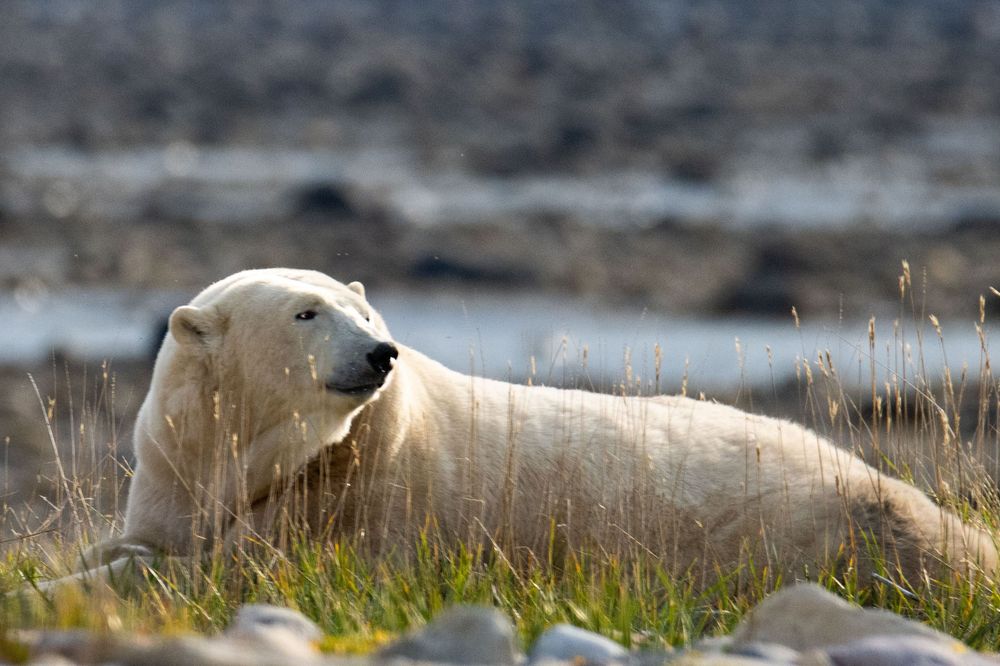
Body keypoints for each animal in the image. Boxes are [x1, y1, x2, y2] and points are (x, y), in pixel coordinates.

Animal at [78, 268, 997, 587]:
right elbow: (156, 539)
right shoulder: (172, 465)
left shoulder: (351, 503)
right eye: (307, 312)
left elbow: (228, 570)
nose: (380, 352)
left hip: (804, 524)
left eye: (365, 310)